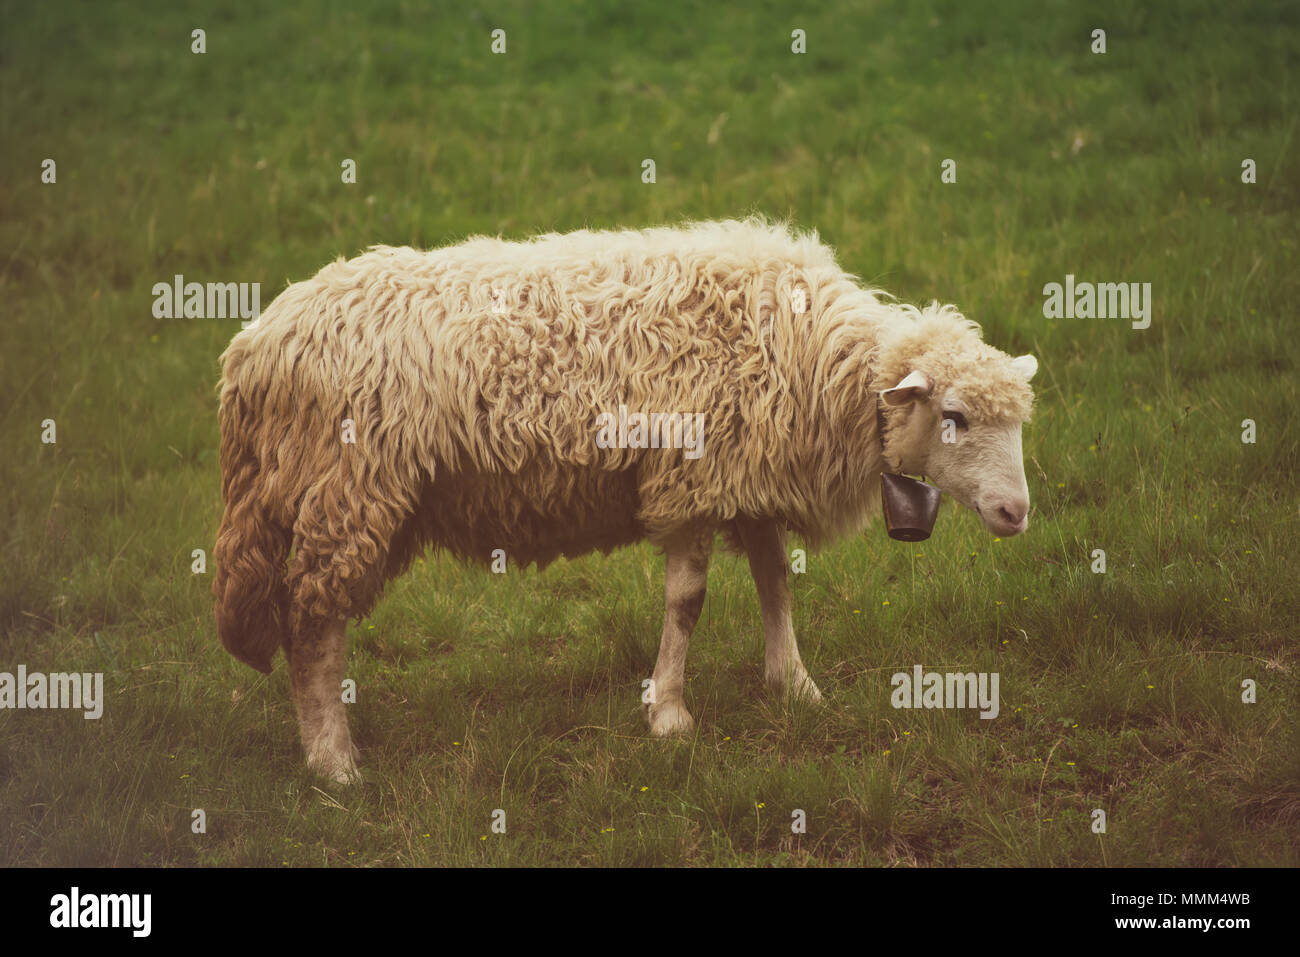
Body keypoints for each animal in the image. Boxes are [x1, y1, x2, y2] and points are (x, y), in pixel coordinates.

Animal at [212, 218, 1037, 783]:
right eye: (955, 416)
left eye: (1019, 421)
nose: (1016, 513)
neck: (809, 357)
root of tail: (255, 348)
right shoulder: (689, 481)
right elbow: (688, 601)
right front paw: (669, 714)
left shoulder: (747, 475)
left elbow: (775, 581)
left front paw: (795, 685)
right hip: (346, 494)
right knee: (313, 625)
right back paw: (334, 760)